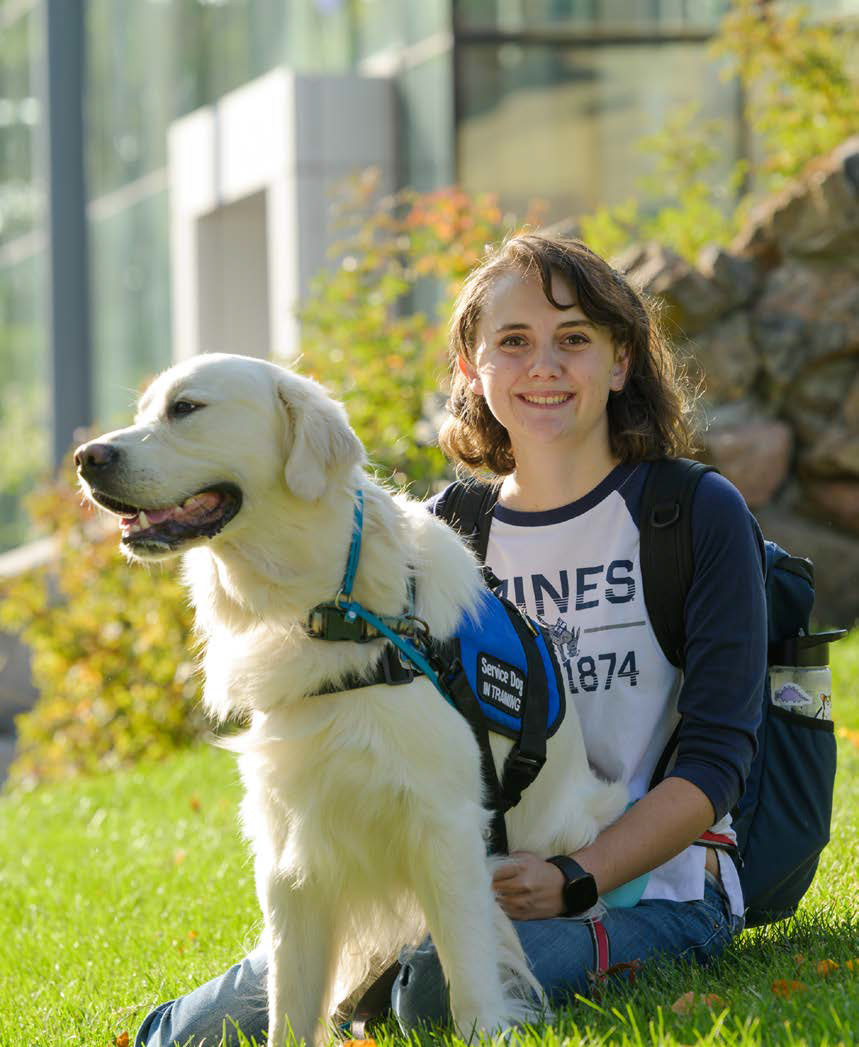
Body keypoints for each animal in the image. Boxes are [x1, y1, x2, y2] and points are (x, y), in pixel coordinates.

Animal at [75, 353, 624, 1047]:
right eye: (144, 411)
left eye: (187, 409)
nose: (86, 457)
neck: (328, 612)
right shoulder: (289, 846)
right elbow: (289, 1003)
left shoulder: (446, 825)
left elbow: (469, 965)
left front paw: (486, 1026)